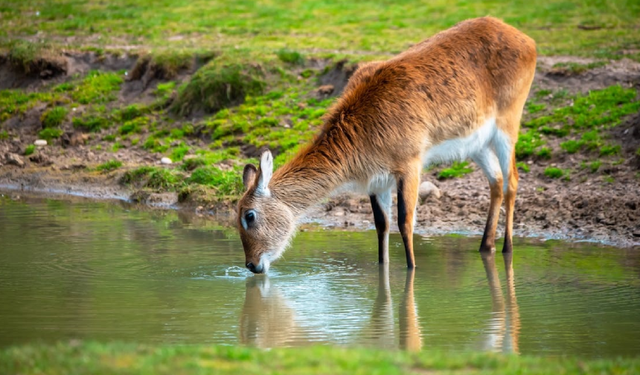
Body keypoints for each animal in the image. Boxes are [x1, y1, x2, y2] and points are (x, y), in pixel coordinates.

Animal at [235, 16, 536, 274]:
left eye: (249, 215)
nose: (251, 265)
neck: (364, 124)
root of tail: (524, 38)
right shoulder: (377, 181)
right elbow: (382, 225)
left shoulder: (410, 166)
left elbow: (405, 221)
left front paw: (412, 270)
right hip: (478, 144)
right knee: (496, 181)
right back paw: (486, 246)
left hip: (508, 125)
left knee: (512, 180)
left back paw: (507, 247)